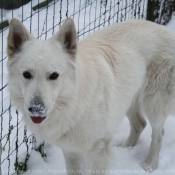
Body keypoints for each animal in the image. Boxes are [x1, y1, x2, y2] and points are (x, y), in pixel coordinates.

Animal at [6, 18, 175, 174]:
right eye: (26, 74)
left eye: (54, 76)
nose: (36, 108)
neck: (74, 103)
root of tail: (165, 30)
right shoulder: (70, 149)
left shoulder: (97, 150)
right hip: (127, 101)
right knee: (140, 124)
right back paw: (125, 148)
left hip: (153, 104)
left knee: (158, 134)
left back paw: (149, 164)